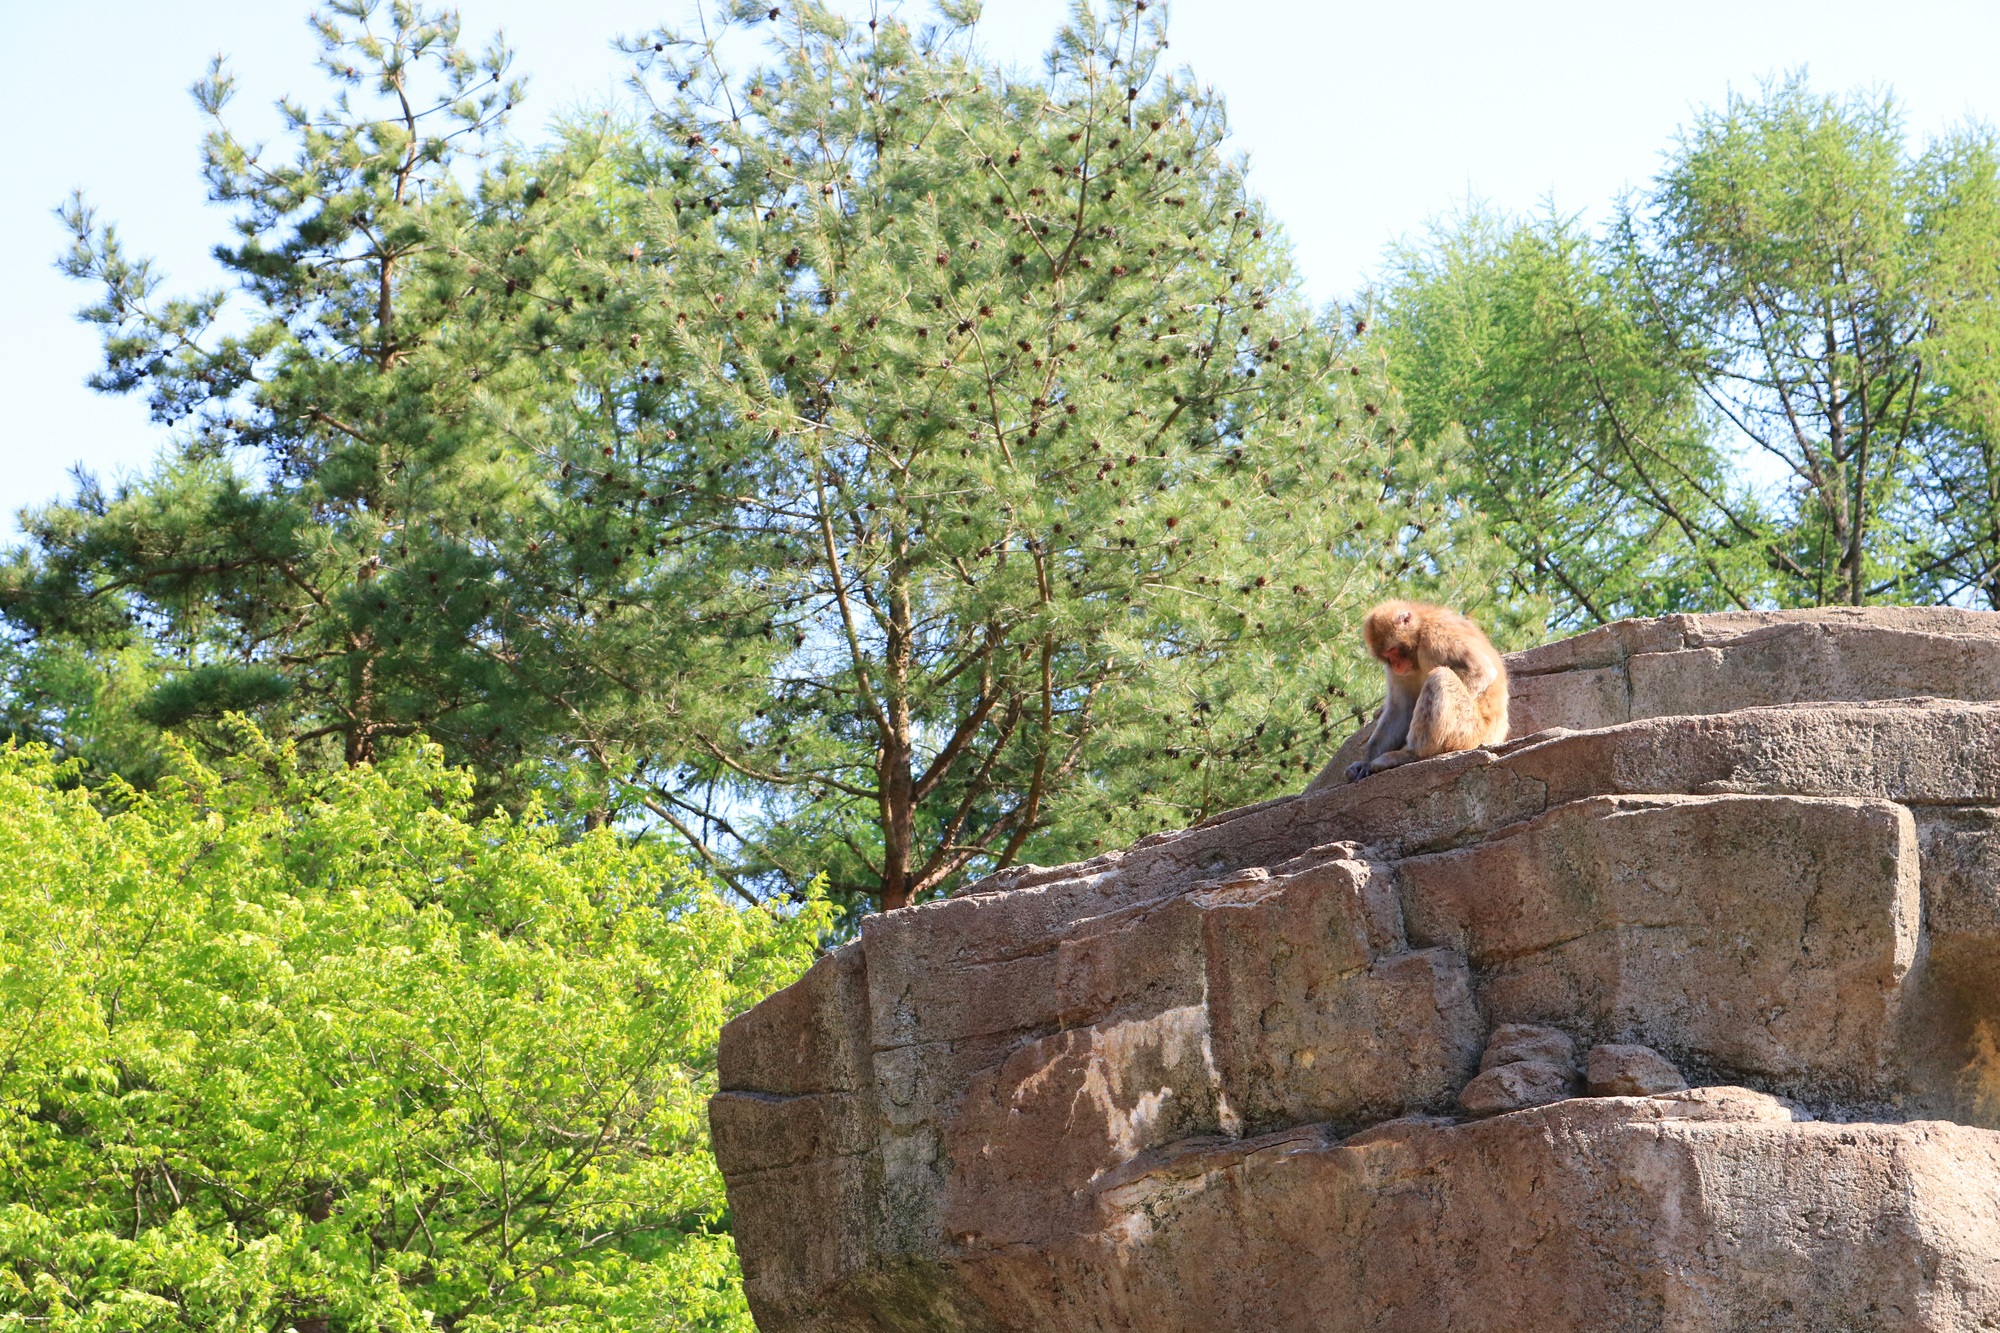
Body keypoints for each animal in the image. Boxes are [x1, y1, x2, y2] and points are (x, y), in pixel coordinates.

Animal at [1336, 592, 1504, 780]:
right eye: (1386, 656)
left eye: (1393, 650)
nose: (1396, 665)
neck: (1419, 633)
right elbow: (1401, 709)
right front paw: (1365, 761)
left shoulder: (1437, 637)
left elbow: (1481, 672)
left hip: (1471, 732)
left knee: (1441, 677)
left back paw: (1412, 753)